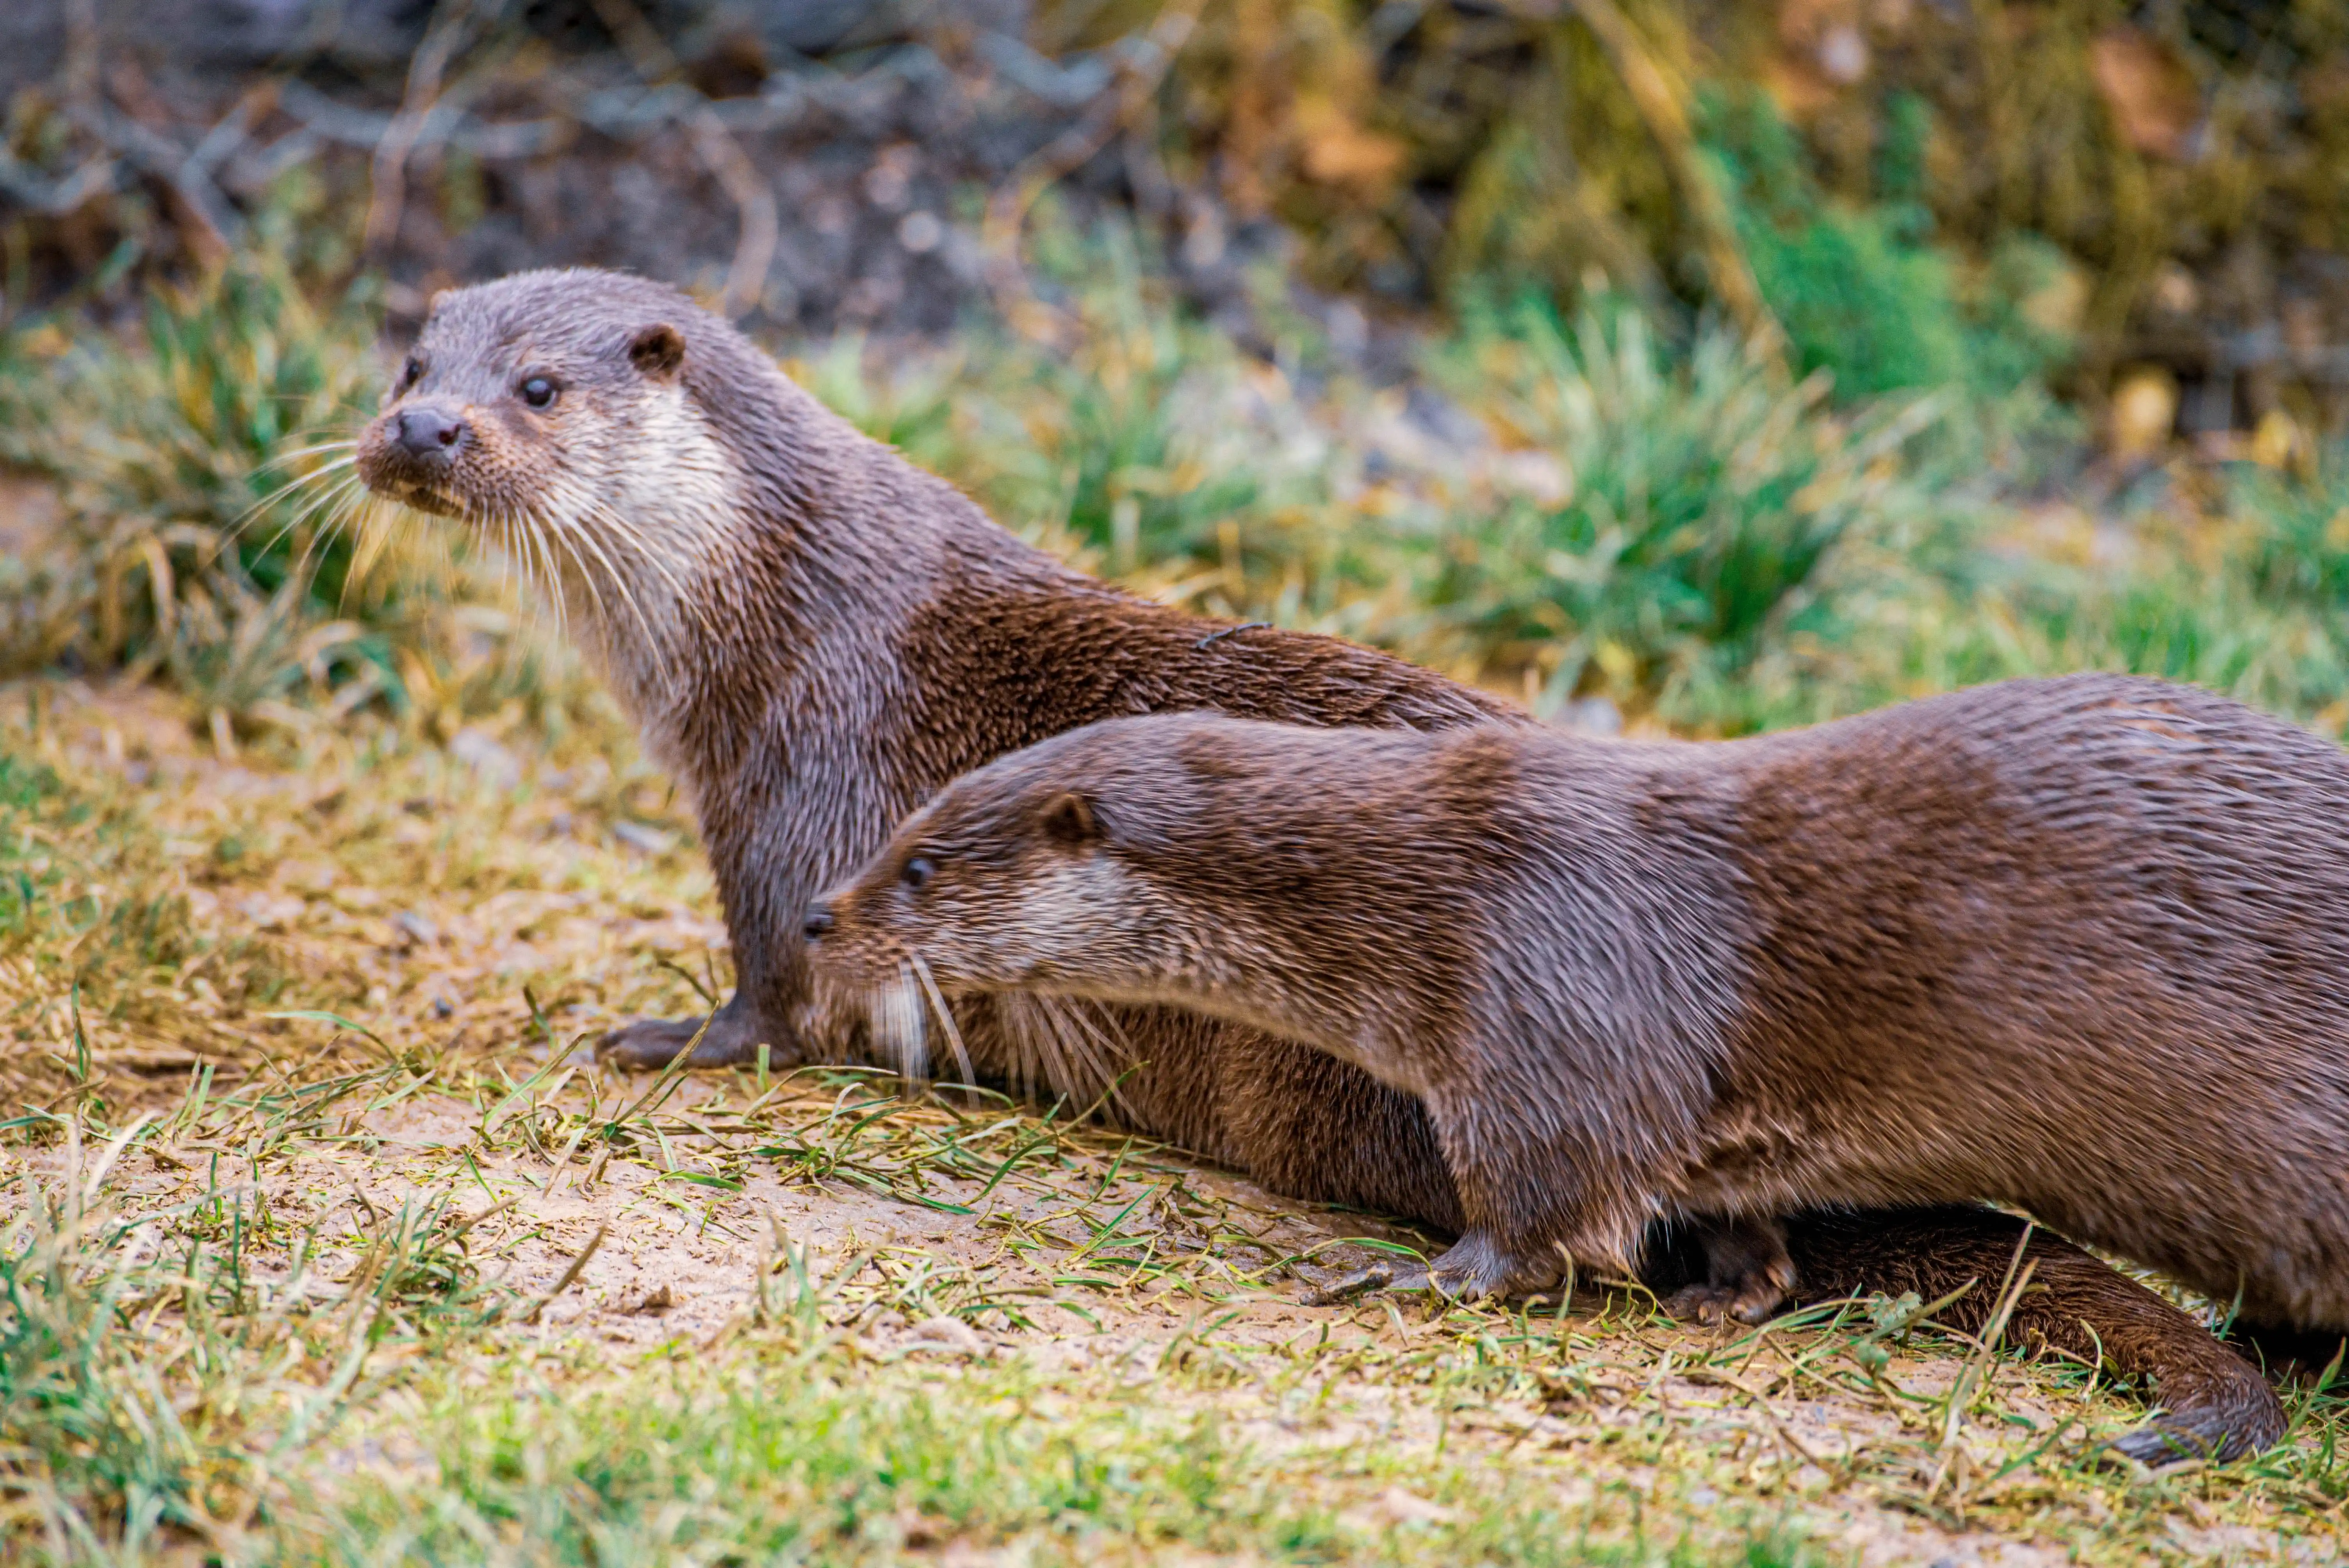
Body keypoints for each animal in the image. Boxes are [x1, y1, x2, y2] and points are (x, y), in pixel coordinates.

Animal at [806, 676, 2349, 1457]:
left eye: (920, 860)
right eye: (901, 820)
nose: (818, 913)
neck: (1428, 889)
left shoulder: (1544, 1019)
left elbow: (1544, 1215)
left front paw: (1409, 1279)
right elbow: (1729, 1216)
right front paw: (1732, 1296)